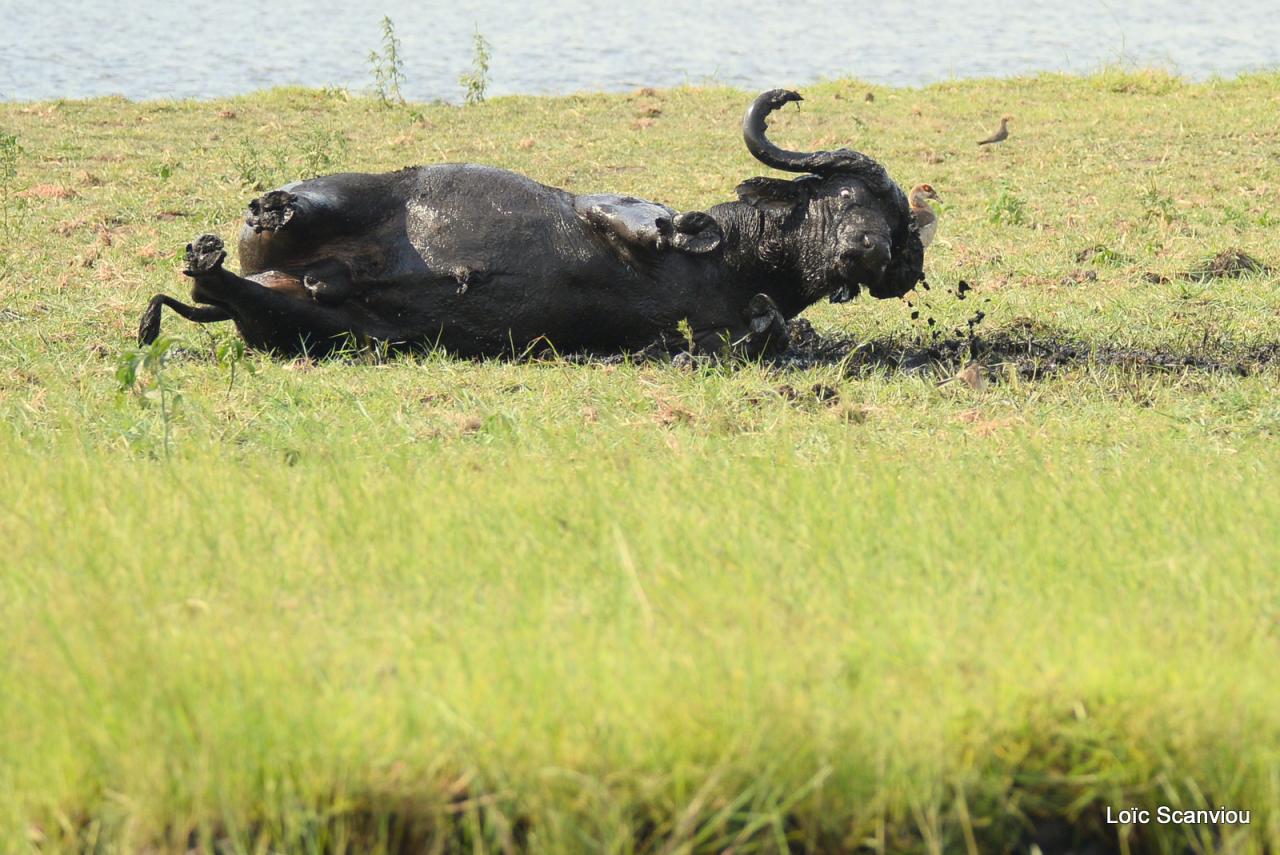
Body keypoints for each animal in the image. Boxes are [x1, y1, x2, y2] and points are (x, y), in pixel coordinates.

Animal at [137, 92, 921, 358]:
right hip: (334, 194)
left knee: (214, 292)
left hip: (313, 327)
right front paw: (672, 228)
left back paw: (203, 271)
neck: (735, 262)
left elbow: (755, 331)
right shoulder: (613, 203)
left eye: (892, 223)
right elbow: (642, 221)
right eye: (849, 196)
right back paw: (266, 212)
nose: (871, 250)